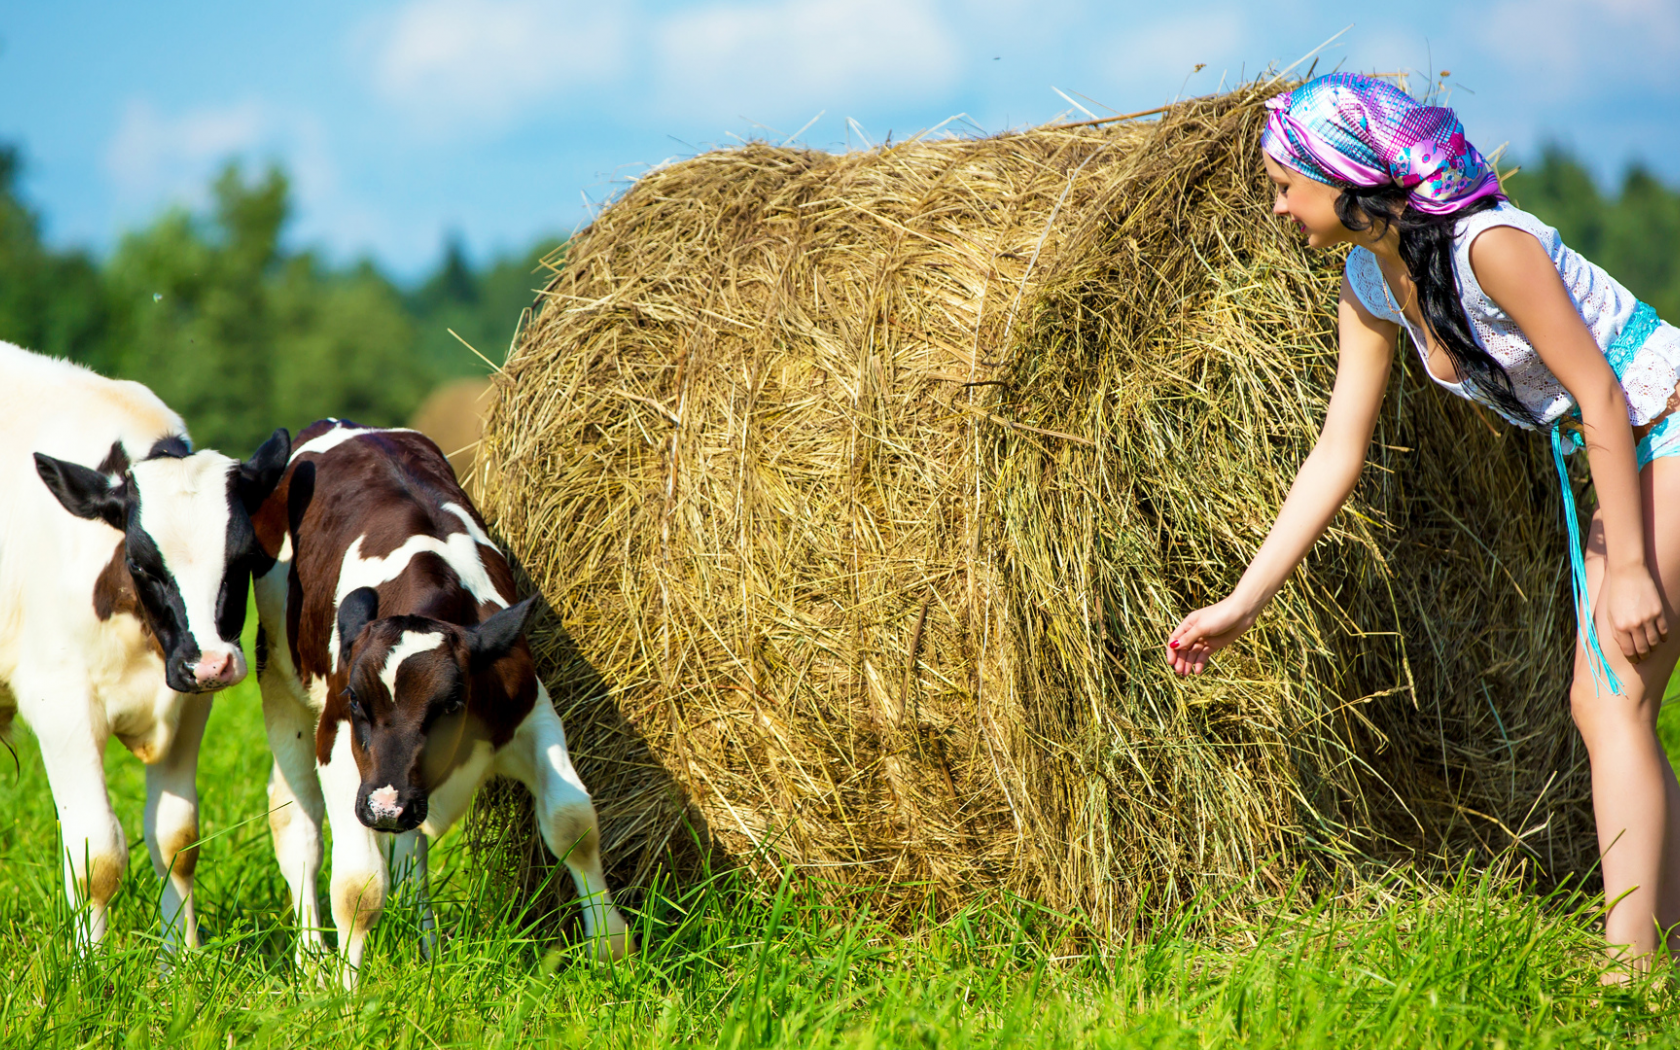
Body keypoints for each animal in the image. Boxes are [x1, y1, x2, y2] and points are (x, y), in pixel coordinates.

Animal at [0, 342, 287, 940]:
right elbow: (98, 855)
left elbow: (178, 839)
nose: (213, 664)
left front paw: (182, 953)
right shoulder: (59, 702)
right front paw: (90, 959)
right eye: (139, 564)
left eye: (247, 557)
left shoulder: (189, 704)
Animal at [251, 414, 631, 974]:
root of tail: (342, 422)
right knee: (297, 828)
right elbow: (358, 887)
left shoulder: (532, 714)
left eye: (452, 704)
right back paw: (311, 963)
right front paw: (346, 987)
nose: (385, 809)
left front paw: (610, 948)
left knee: (411, 850)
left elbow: (572, 822)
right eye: (357, 702)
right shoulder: (340, 745)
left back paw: (427, 952)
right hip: (282, 688)